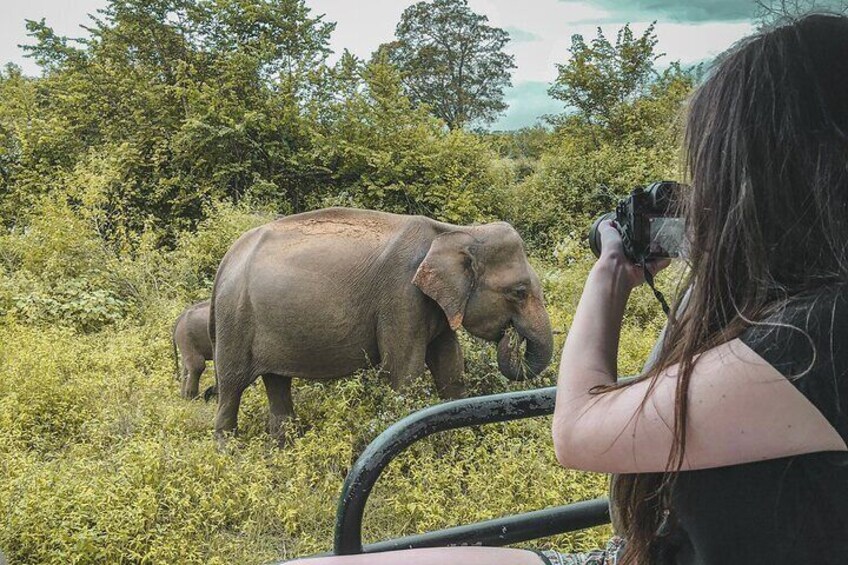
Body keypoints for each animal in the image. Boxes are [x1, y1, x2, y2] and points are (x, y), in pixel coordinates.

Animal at [212, 207, 556, 446]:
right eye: (519, 292)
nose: (511, 337)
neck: (453, 232)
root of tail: (227, 259)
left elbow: (450, 367)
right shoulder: (401, 297)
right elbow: (404, 374)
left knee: (276, 382)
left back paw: (283, 450)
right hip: (235, 319)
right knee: (231, 387)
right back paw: (229, 453)